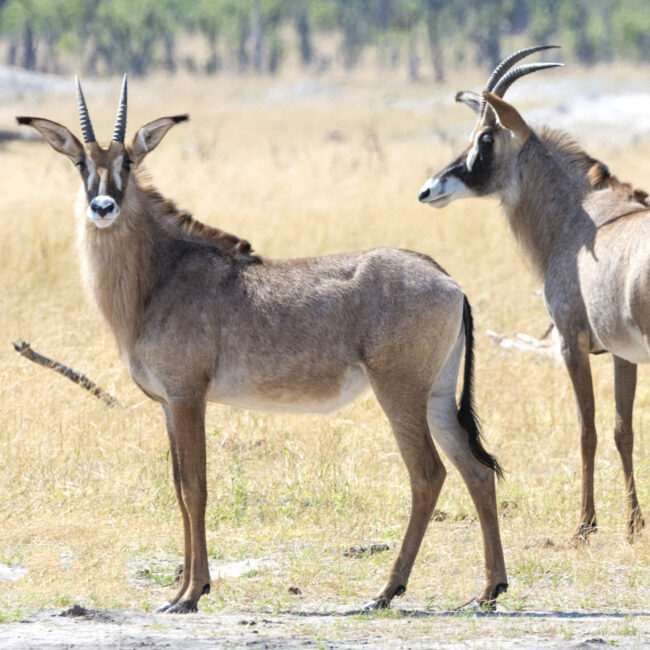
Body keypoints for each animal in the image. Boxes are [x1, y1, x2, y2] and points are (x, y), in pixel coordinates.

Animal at [12, 77, 504, 612]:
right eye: (81, 163)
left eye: (128, 162)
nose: (103, 208)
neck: (159, 277)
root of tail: (446, 278)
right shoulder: (167, 404)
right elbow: (178, 487)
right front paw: (180, 590)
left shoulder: (188, 397)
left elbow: (195, 487)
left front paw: (192, 593)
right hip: (437, 395)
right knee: (476, 470)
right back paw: (490, 589)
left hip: (400, 390)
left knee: (428, 474)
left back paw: (386, 591)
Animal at [418, 45, 644, 540]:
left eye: (485, 138)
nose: (427, 190)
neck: (580, 218)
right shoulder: (623, 354)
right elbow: (622, 429)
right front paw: (635, 523)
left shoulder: (571, 344)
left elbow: (586, 429)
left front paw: (586, 523)